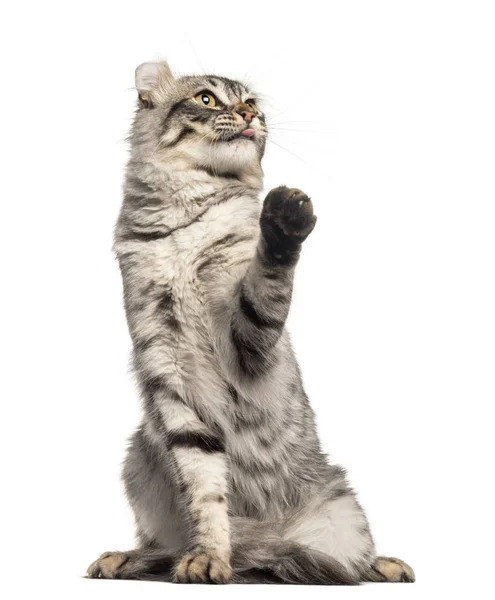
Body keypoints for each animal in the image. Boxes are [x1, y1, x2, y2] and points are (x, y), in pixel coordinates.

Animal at [86, 63, 414, 584]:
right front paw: (209, 557)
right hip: (139, 460)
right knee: (163, 545)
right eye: (207, 98)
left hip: (341, 515)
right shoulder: (168, 372)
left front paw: (283, 220)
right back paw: (127, 558)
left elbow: (267, 280)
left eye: (252, 102)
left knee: (354, 561)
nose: (247, 115)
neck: (187, 218)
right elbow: (205, 494)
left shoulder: (248, 341)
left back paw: (384, 564)